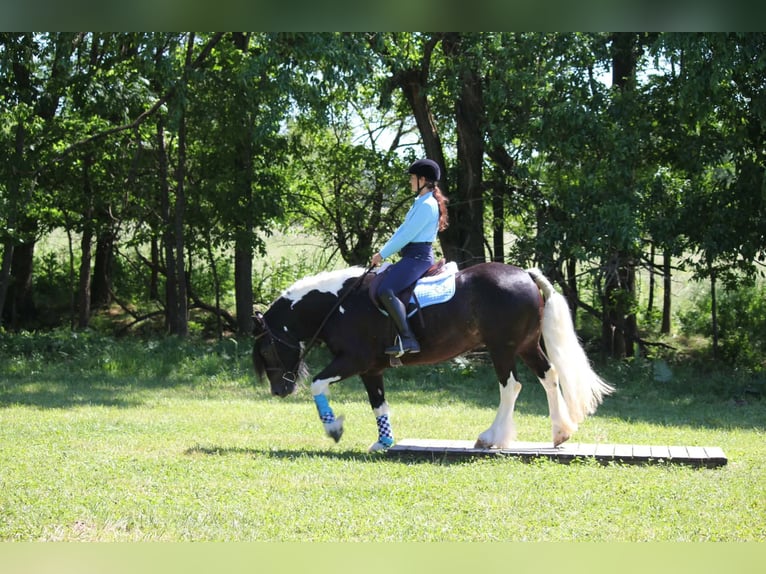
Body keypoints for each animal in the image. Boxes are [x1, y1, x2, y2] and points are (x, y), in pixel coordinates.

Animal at [252, 262, 613, 452]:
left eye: (267, 348)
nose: (279, 391)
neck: (341, 303)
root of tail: (525, 274)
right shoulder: (371, 369)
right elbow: (378, 403)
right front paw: (384, 442)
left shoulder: (354, 360)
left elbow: (317, 384)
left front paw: (334, 428)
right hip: (525, 346)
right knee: (549, 376)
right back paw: (560, 432)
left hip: (502, 349)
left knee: (511, 387)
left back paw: (491, 438)